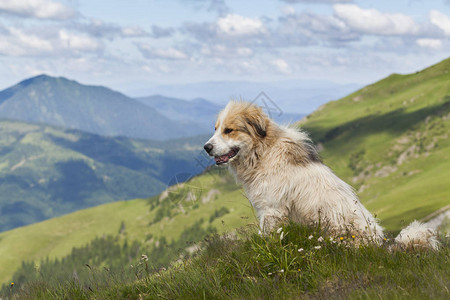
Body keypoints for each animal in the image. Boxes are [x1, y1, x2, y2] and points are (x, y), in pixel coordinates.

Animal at [204, 99, 440, 250]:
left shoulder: (271, 210)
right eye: (215, 129)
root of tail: (380, 247)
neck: (263, 151)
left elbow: (267, 237)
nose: (206, 147)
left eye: (229, 130)